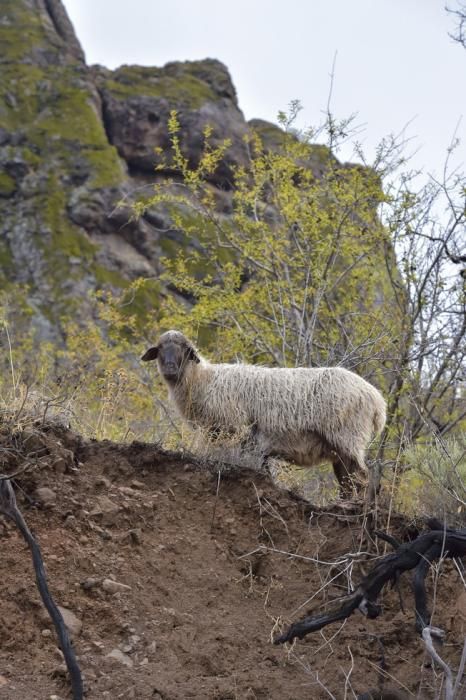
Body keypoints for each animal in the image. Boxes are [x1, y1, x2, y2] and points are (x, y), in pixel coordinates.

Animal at [142, 330, 386, 498]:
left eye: (184, 348)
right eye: (160, 348)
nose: (170, 368)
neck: (204, 380)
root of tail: (377, 401)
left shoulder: (237, 431)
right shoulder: (253, 443)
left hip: (348, 437)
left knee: (360, 478)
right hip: (341, 448)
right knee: (348, 480)